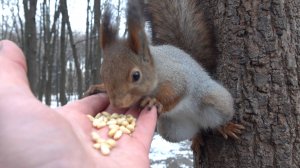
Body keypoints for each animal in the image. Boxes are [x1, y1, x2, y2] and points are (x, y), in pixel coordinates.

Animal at [85, 0, 245, 143]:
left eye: (136, 76)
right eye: (102, 74)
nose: (117, 103)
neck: (156, 69)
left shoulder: (176, 78)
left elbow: (177, 93)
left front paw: (154, 101)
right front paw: (98, 87)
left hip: (217, 100)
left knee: (216, 121)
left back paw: (225, 128)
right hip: (172, 131)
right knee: (197, 130)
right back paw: (197, 139)